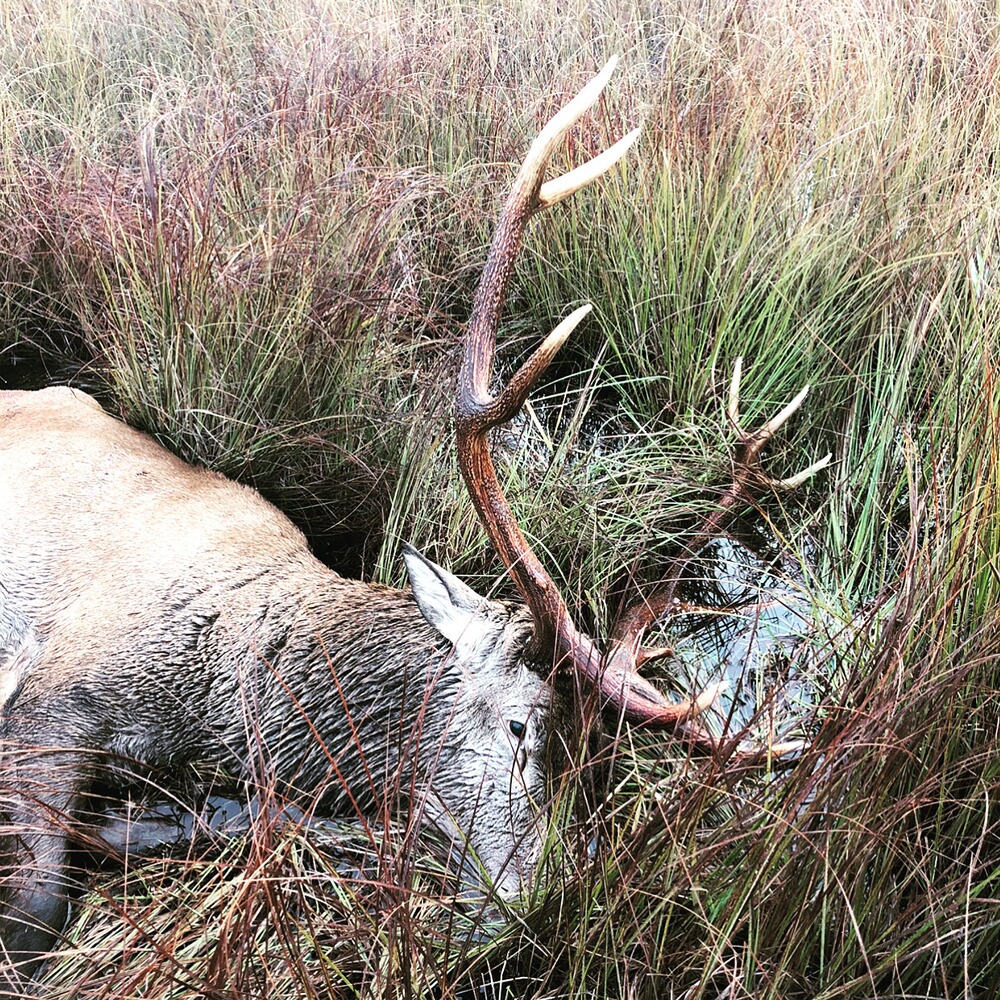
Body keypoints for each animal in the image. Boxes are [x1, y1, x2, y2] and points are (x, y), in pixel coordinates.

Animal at [0, 58, 829, 985]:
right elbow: (35, 913)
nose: (533, 911)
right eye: (523, 725)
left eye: (592, 779)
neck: (232, 685)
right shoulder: (59, 682)